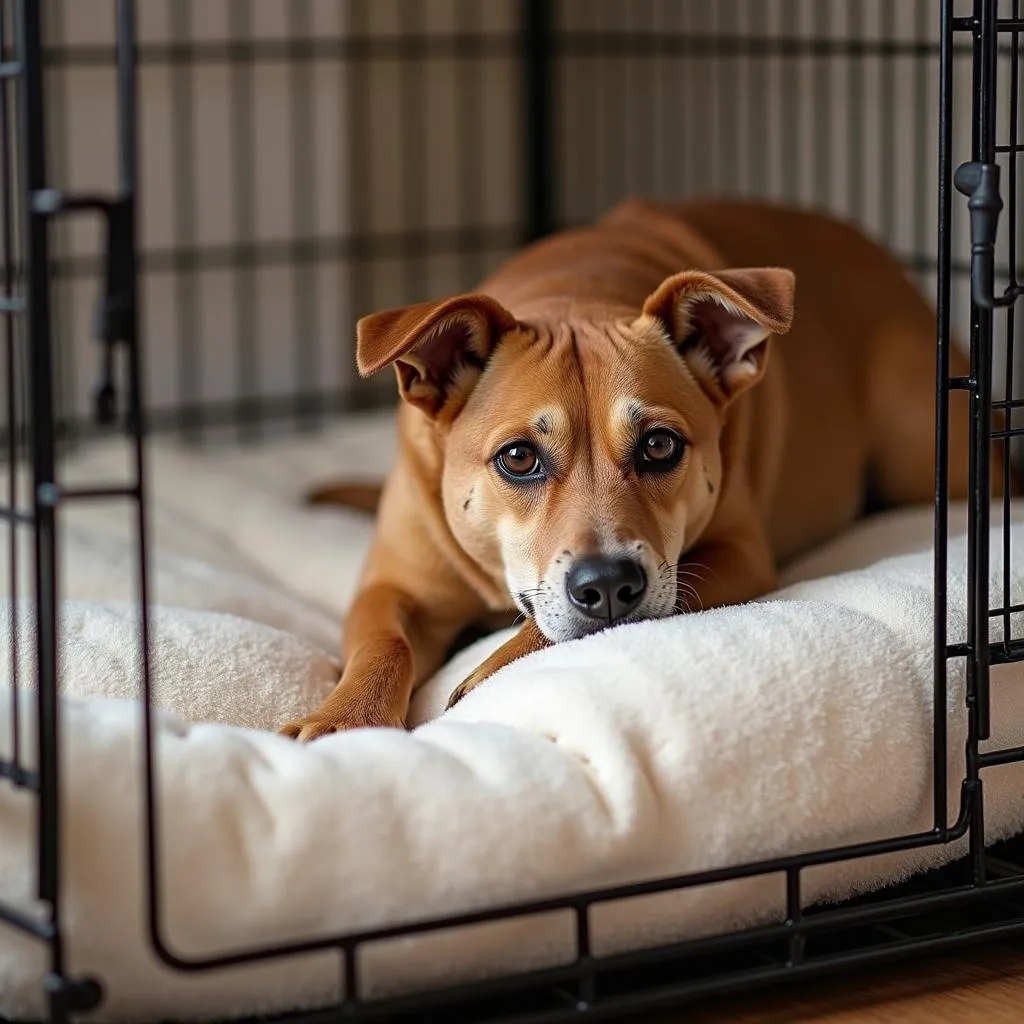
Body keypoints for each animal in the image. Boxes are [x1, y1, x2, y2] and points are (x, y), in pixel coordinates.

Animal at [282, 195, 983, 741]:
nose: (610, 585)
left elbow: (542, 635)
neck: (576, 292)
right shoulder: (392, 588)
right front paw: (342, 721)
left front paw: (484, 670)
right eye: (518, 458)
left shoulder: (732, 555)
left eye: (660, 446)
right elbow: (383, 646)